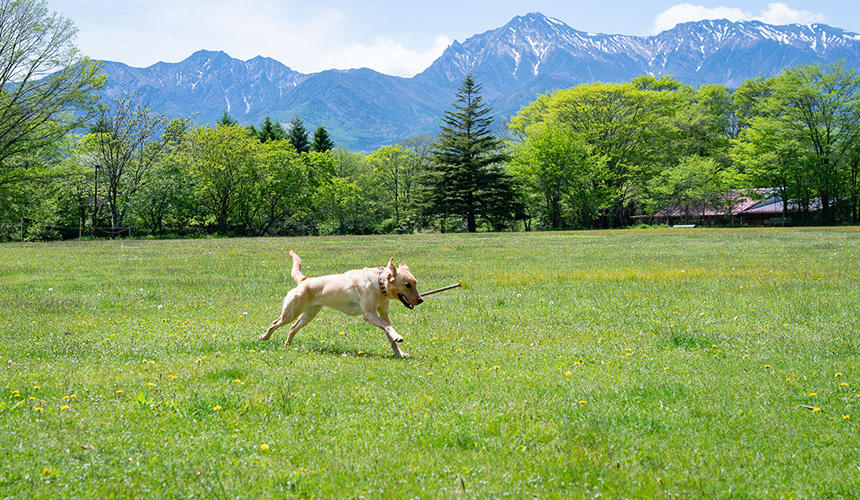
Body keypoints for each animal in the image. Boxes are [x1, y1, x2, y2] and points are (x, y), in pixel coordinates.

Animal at [260, 250, 424, 356]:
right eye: (407, 285)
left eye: (415, 283)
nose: (421, 300)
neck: (379, 284)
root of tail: (304, 279)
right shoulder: (369, 314)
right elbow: (388, 327)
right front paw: (398, 337)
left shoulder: (383, 314)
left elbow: (389, 333)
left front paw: (399, 352)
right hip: (291, 312)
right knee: (274, 323)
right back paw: (264, 337)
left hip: (308, 314)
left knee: (292, 328)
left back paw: (287, 345)